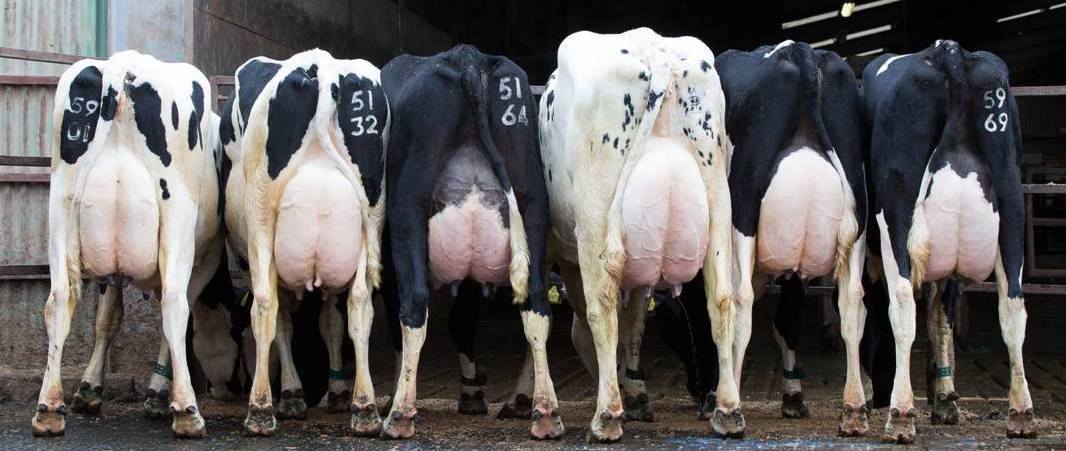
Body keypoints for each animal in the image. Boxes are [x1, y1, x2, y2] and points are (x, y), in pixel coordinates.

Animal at [32, 50, 225, 438]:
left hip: (61, 206)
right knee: (174, 302)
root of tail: (122, 67)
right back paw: (188, 411)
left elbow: (107, 317)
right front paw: (157, 395)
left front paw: (89, 388)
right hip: (177, 215)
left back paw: (49, 408)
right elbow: (167, 323)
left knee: (59, 298)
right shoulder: (207, 255)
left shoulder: (113, 269)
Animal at [222, 49, 389, 436]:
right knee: (360, 304)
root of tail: (322, 66)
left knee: (264, 305)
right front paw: (337, 391)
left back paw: (260, 409)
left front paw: (292, 393)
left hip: (260, 216)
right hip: (371, 216)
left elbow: (283, 324)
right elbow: (332, 323)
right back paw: (365, 408)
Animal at [378, 44, 557, 440]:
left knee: (414, 304)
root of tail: (467, 56)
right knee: (537, 300)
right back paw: (545, 412)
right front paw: (472, 392)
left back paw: (399, 414)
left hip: (407, 204)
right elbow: (463, 320)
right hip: (532, 194)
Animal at [538, 28, 734, 441]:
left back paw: (606, 416)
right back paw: (727, 411)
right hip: (718, 201)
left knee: (600, 307)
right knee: (722, 299)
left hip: (594, 217)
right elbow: (635, 324)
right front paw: (638, 394)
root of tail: (653, 47)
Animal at [863, 40, 1036, 442]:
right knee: (1013, 304)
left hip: (894, 210)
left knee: (902, 302)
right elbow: (942, 317)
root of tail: (948, 51)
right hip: (1012, 201)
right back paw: (1021, 414)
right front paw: (944, 400)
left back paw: (900, 415)